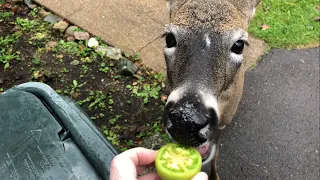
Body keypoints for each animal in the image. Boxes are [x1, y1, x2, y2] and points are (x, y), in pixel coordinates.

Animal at [162, 0, 260, 179]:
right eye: (169, 38)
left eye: (239, 45)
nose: (186, 120)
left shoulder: (224, 121)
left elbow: (216, 151)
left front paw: (215, 175)